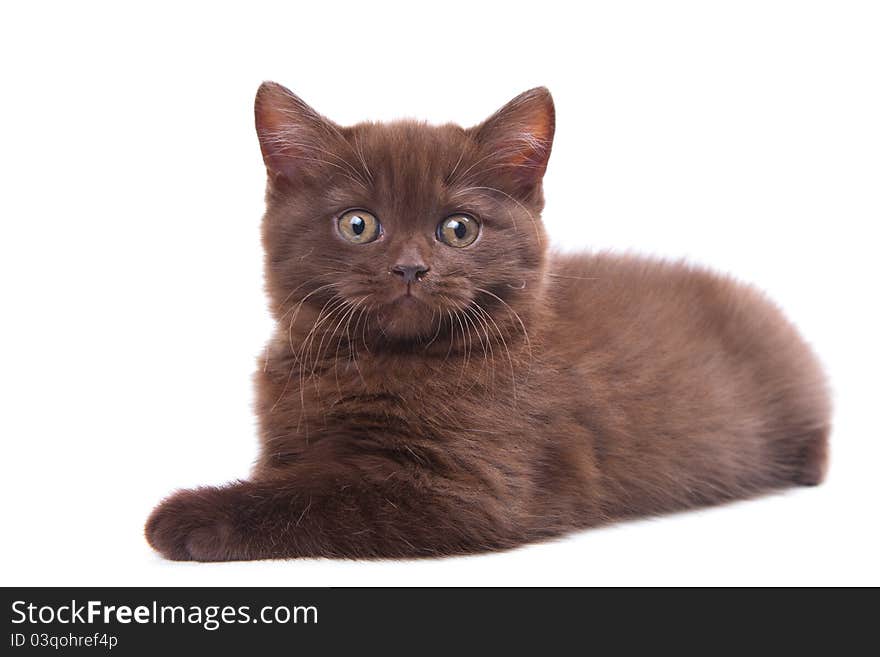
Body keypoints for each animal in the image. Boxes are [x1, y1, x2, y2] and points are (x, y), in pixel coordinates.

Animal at [146, 82, 832, 560]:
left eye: (459, 228)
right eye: (358, 224)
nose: (411, 268)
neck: (376, 362)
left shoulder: (470, 490)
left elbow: (320, 494)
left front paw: (186, 517)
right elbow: (294, 476)